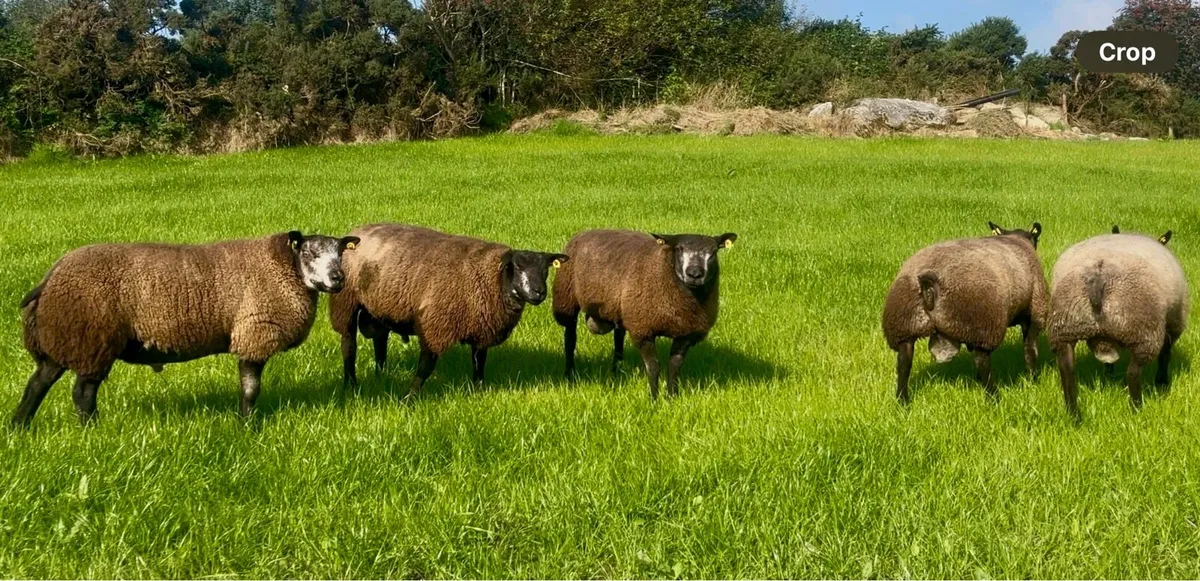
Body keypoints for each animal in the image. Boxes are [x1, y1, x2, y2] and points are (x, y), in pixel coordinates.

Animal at [12, 231, 360, 426]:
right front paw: (247, 426)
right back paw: (92, 431)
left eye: (340, 253)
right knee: (82, 394)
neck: (284, 268)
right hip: (91, 338)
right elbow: (251, 389)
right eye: (309, 252)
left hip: (64, 337)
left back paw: (19, 426)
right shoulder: (254, 332)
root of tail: (51, 277)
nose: (338, 279)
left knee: (37, 384)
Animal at [328, 223, 568, 393]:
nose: (539, 292)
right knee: (349, 345)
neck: (492, 278)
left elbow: (479, 363)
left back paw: (381, 375)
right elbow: (425, 367)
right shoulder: (435, 325)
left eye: (546, 269)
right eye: (516, 266)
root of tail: (359, 230)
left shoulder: (482, 327)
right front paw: (409, 398)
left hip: (380, 308)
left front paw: (478, 391)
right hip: (345, 302)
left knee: (380, 341)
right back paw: (350, 383)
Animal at [551, 230, 738, 399]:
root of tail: (587, 231)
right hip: (567, 300)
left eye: (713, 252)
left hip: (621, 309)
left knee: (618, 339)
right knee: (570, 340)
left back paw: (616, 373)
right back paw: (570, 375)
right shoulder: (643, 329)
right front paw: (654, 399)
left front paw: (672, 397)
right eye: (679, 249)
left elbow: (674, 366)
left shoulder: (686, 334)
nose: (694, 274)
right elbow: (653, 367)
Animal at [882, 221, 1048, 403]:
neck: (1017, 239)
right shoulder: (1034, 312)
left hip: (904, 324)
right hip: (983, 323)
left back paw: (902, 401)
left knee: (904, 362)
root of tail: (928, 282)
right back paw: (993, 397)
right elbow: (1030, 350)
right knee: (982, 361)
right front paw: (1033, 380)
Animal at [1048, 227, 1187, 416]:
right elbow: (1166, 355)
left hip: (1064, 326)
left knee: (1066, 368)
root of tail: (1098, 278)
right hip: (1145, 332)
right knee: (1133, 373)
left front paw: (1108, 375)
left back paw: (1073, 413)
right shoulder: (1174, 324)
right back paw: (1136, 409)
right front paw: (1162, 382)